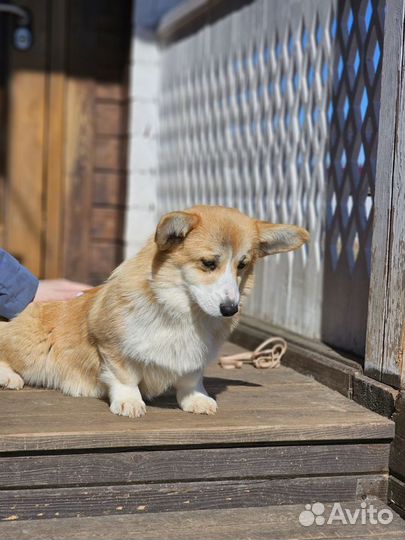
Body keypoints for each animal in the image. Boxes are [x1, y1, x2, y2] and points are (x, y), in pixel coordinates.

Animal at [0, 207, 308, 418]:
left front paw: (196, 400)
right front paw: (130, 402)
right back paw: (9, 377)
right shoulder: (111, 344)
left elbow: (191, 379)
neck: (184, 311)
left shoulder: (195, 358)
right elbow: (124, 376)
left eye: (242, 265)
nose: (230, 309)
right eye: (208, 263)